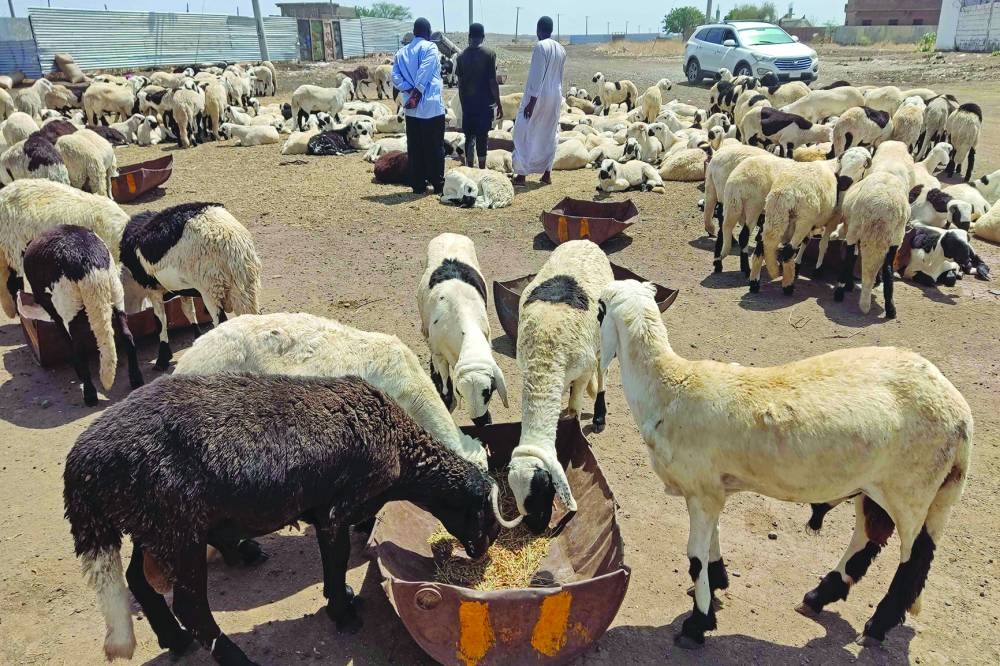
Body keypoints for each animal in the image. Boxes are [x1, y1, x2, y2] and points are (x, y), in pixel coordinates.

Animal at [23, 225, 142, 405]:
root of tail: (89, 264)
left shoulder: (51, 306)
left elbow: (65, 336)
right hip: (116, 290)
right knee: (127, 334)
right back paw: (136, 379)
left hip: (69, 304)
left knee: (79, 347)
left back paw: (90, 394)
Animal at [65, 373, 502, 665]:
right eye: (487, 518)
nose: (482, 554)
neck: (401, 448)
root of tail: (83, 464)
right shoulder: (337, 508)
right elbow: (336, 558)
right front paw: (343, 613)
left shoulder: (329, 512)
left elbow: (334, 559)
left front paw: (340, 599)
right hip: (178, 528)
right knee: (192, 608)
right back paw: (237, 659)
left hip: (152, 525)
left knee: (138, 579)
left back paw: (173, 639)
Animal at [119, 202, 262, 369]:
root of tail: (233, 247)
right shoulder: (183, 289)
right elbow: (188, 311)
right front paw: (197, 338)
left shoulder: (153, 289)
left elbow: (160, 320)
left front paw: (162, 360)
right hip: (246, 287)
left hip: (211, 289)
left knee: (221, 322)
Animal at [508, 240, 614, 533]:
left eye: (544, 488)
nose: (535, 528)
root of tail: (584, 240)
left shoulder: (582, 371)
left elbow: (574, 410)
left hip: (603, 335)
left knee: (602, 372)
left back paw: (599, 415)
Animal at [596, 278, 972, 648]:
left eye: (599, 310)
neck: (669, 386)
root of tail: (960, 413)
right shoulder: (713, 490)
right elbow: (713, 541)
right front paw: (718, 582)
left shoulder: (702, 491)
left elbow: (695, 556)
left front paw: (697, 623)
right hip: (879, 489)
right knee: (869, 538)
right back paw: (820, 596)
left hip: (912, 492)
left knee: (913, 561)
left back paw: (876, 626)